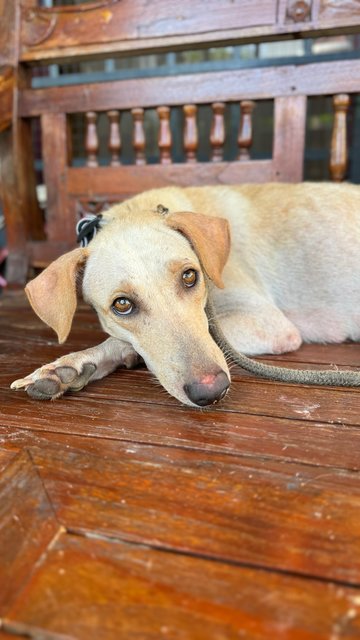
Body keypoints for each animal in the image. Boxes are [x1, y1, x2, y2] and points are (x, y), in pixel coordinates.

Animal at [10, 182, 360, 408]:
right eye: (122, 304)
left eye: (190, 276)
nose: (212, 392)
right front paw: (70, 369)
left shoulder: (270, 323)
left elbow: (126, 343)